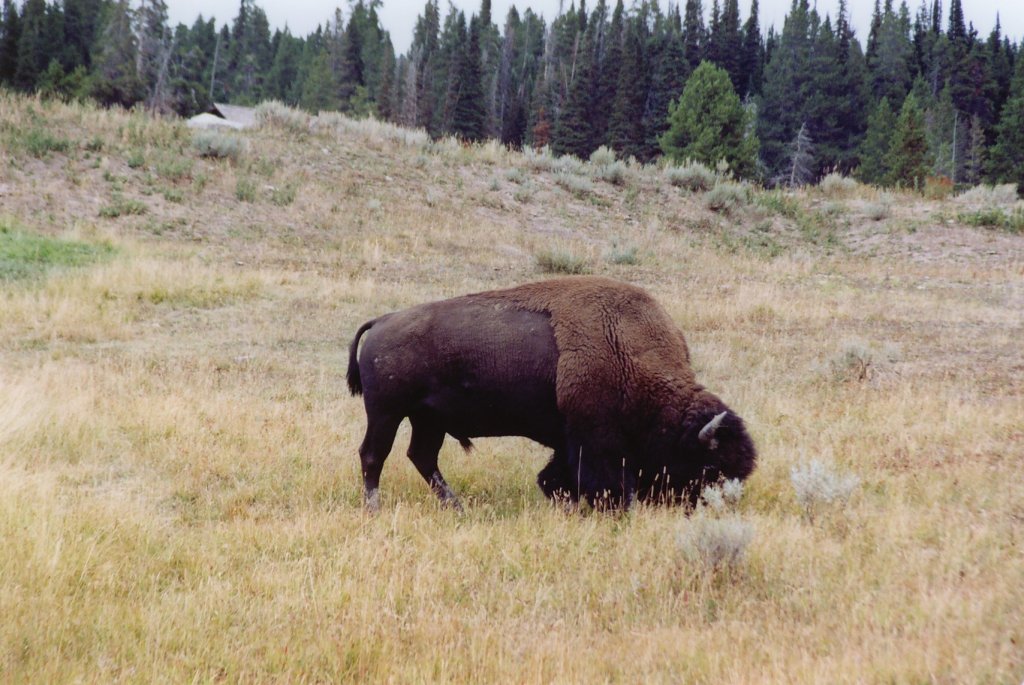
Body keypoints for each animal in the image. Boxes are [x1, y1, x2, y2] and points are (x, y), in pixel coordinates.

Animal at [348, 276, 757, 507]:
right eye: (711, 467)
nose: (718, 506)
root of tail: (382, 320)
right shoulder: (595, 442)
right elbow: (603, 482)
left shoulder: (570, 442)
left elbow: (554, 476)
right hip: (386, 412)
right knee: (374, 455)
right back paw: (375, 507)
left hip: (427, 419)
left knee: (422, 457)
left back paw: (456, 506)